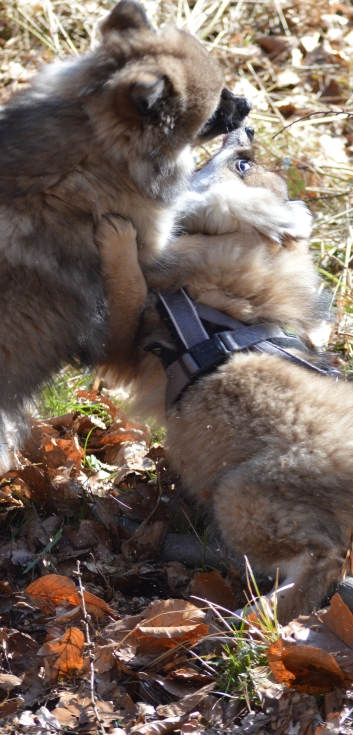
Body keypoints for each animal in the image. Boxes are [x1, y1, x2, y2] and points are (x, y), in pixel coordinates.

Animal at [99, 129, 352, 624]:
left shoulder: (127, 338)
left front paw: (118, 235)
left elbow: (129, 282)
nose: (246, 128)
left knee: (323, 562)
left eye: (243, 165)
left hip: (239, 495)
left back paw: (251, 619)